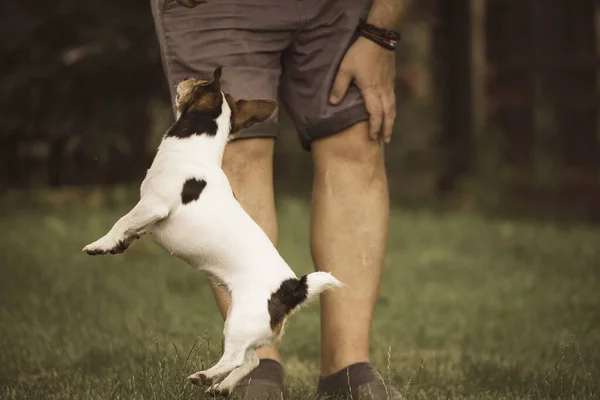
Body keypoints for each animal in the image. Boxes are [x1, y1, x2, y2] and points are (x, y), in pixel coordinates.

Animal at [81, 67, 342, 396]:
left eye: (198, 82)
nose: (184, 77)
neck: (196, 149)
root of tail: (293, 288)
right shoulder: (148, 213)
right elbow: (131, 227)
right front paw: (120, 244)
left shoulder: (153, 205)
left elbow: (122, 220)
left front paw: (101, 244)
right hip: (246, 323)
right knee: (251, 361)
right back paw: (220, 387)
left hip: (240, 320)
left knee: (235, 358)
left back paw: (205, 376)